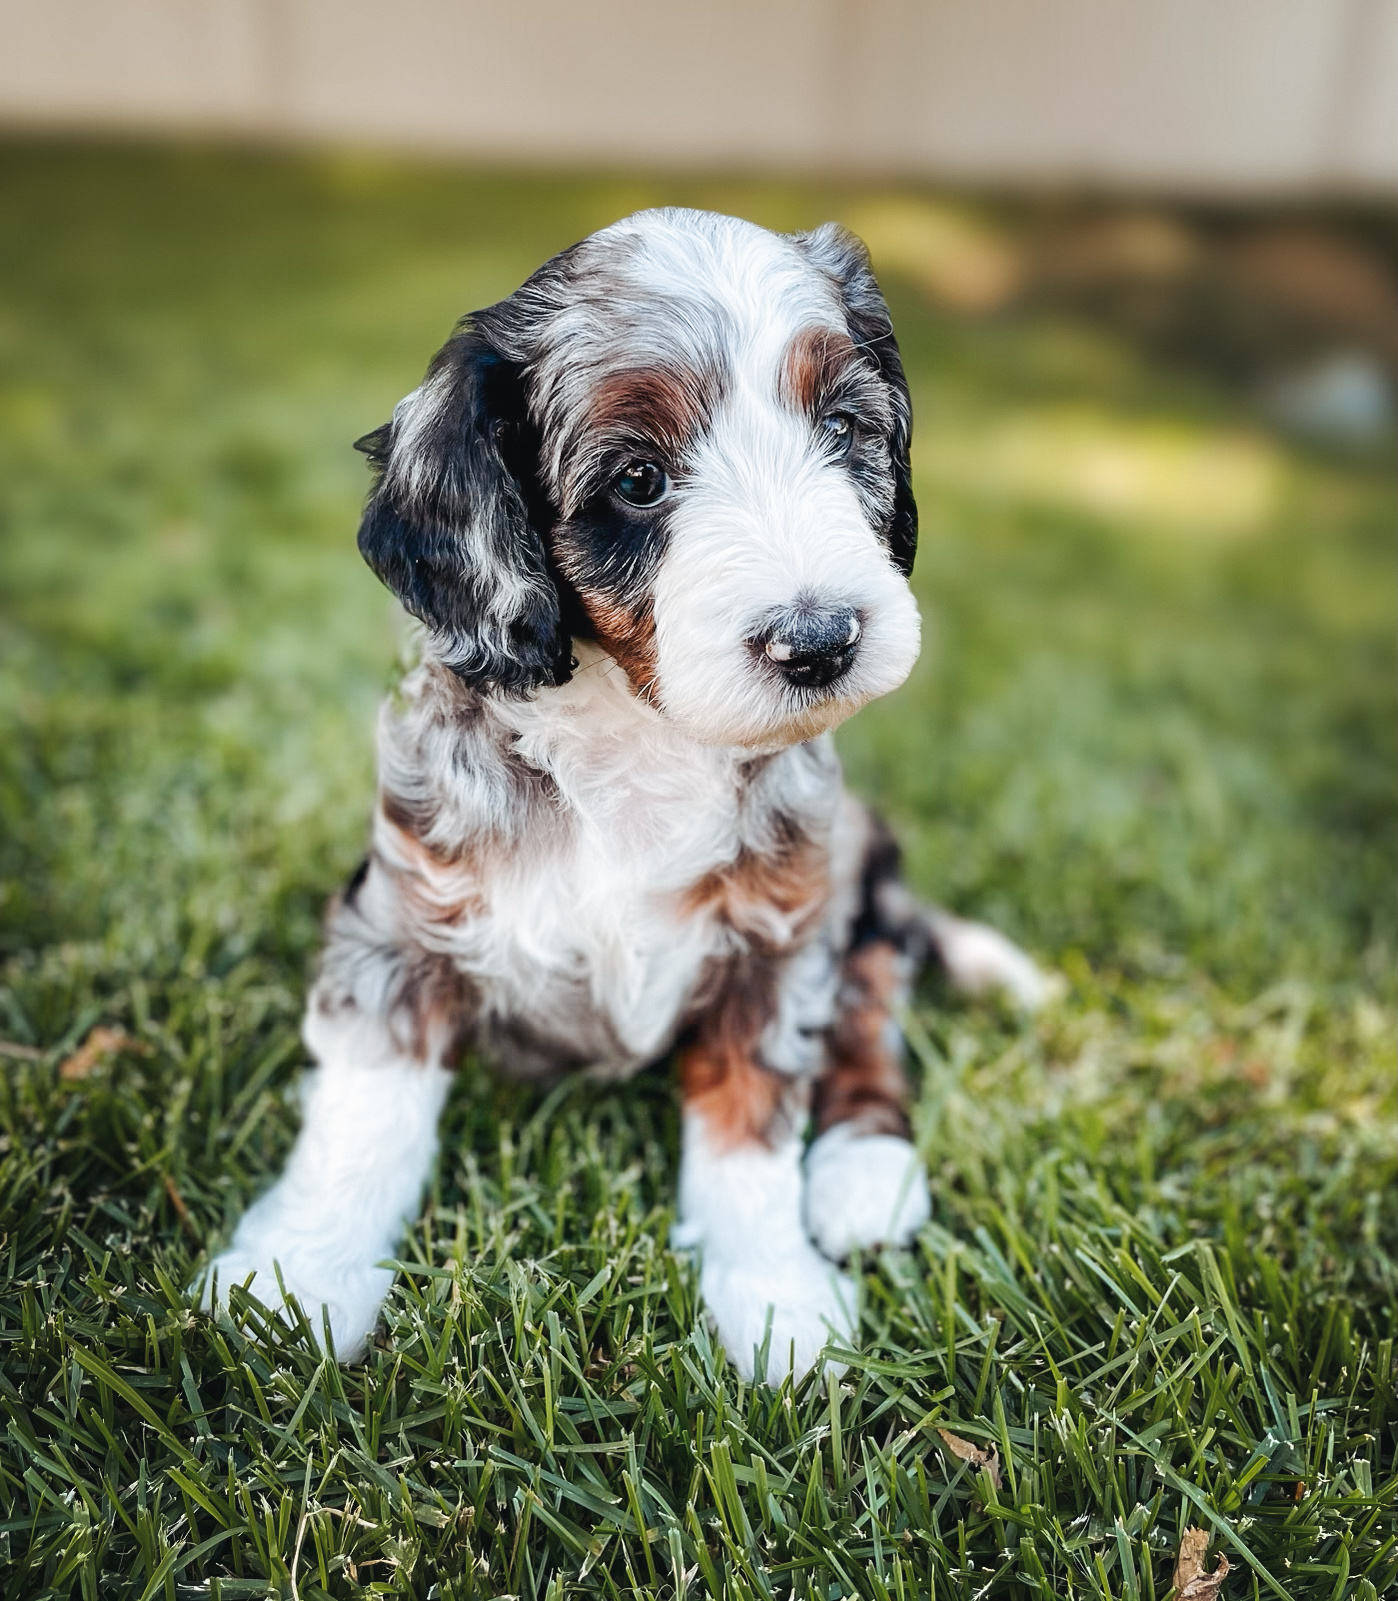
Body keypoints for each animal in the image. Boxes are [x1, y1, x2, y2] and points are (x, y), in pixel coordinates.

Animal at [201, 212, 1044, 1383]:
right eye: (639, 480)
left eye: (842, 428)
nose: (822, 642)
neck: (645, 740)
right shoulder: (401, 921)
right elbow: (365, 1114)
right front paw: (298, 1278)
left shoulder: (778, 938)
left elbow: (749, 1135)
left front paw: (775, 1304)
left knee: (874, 994)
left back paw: (862, 1170)